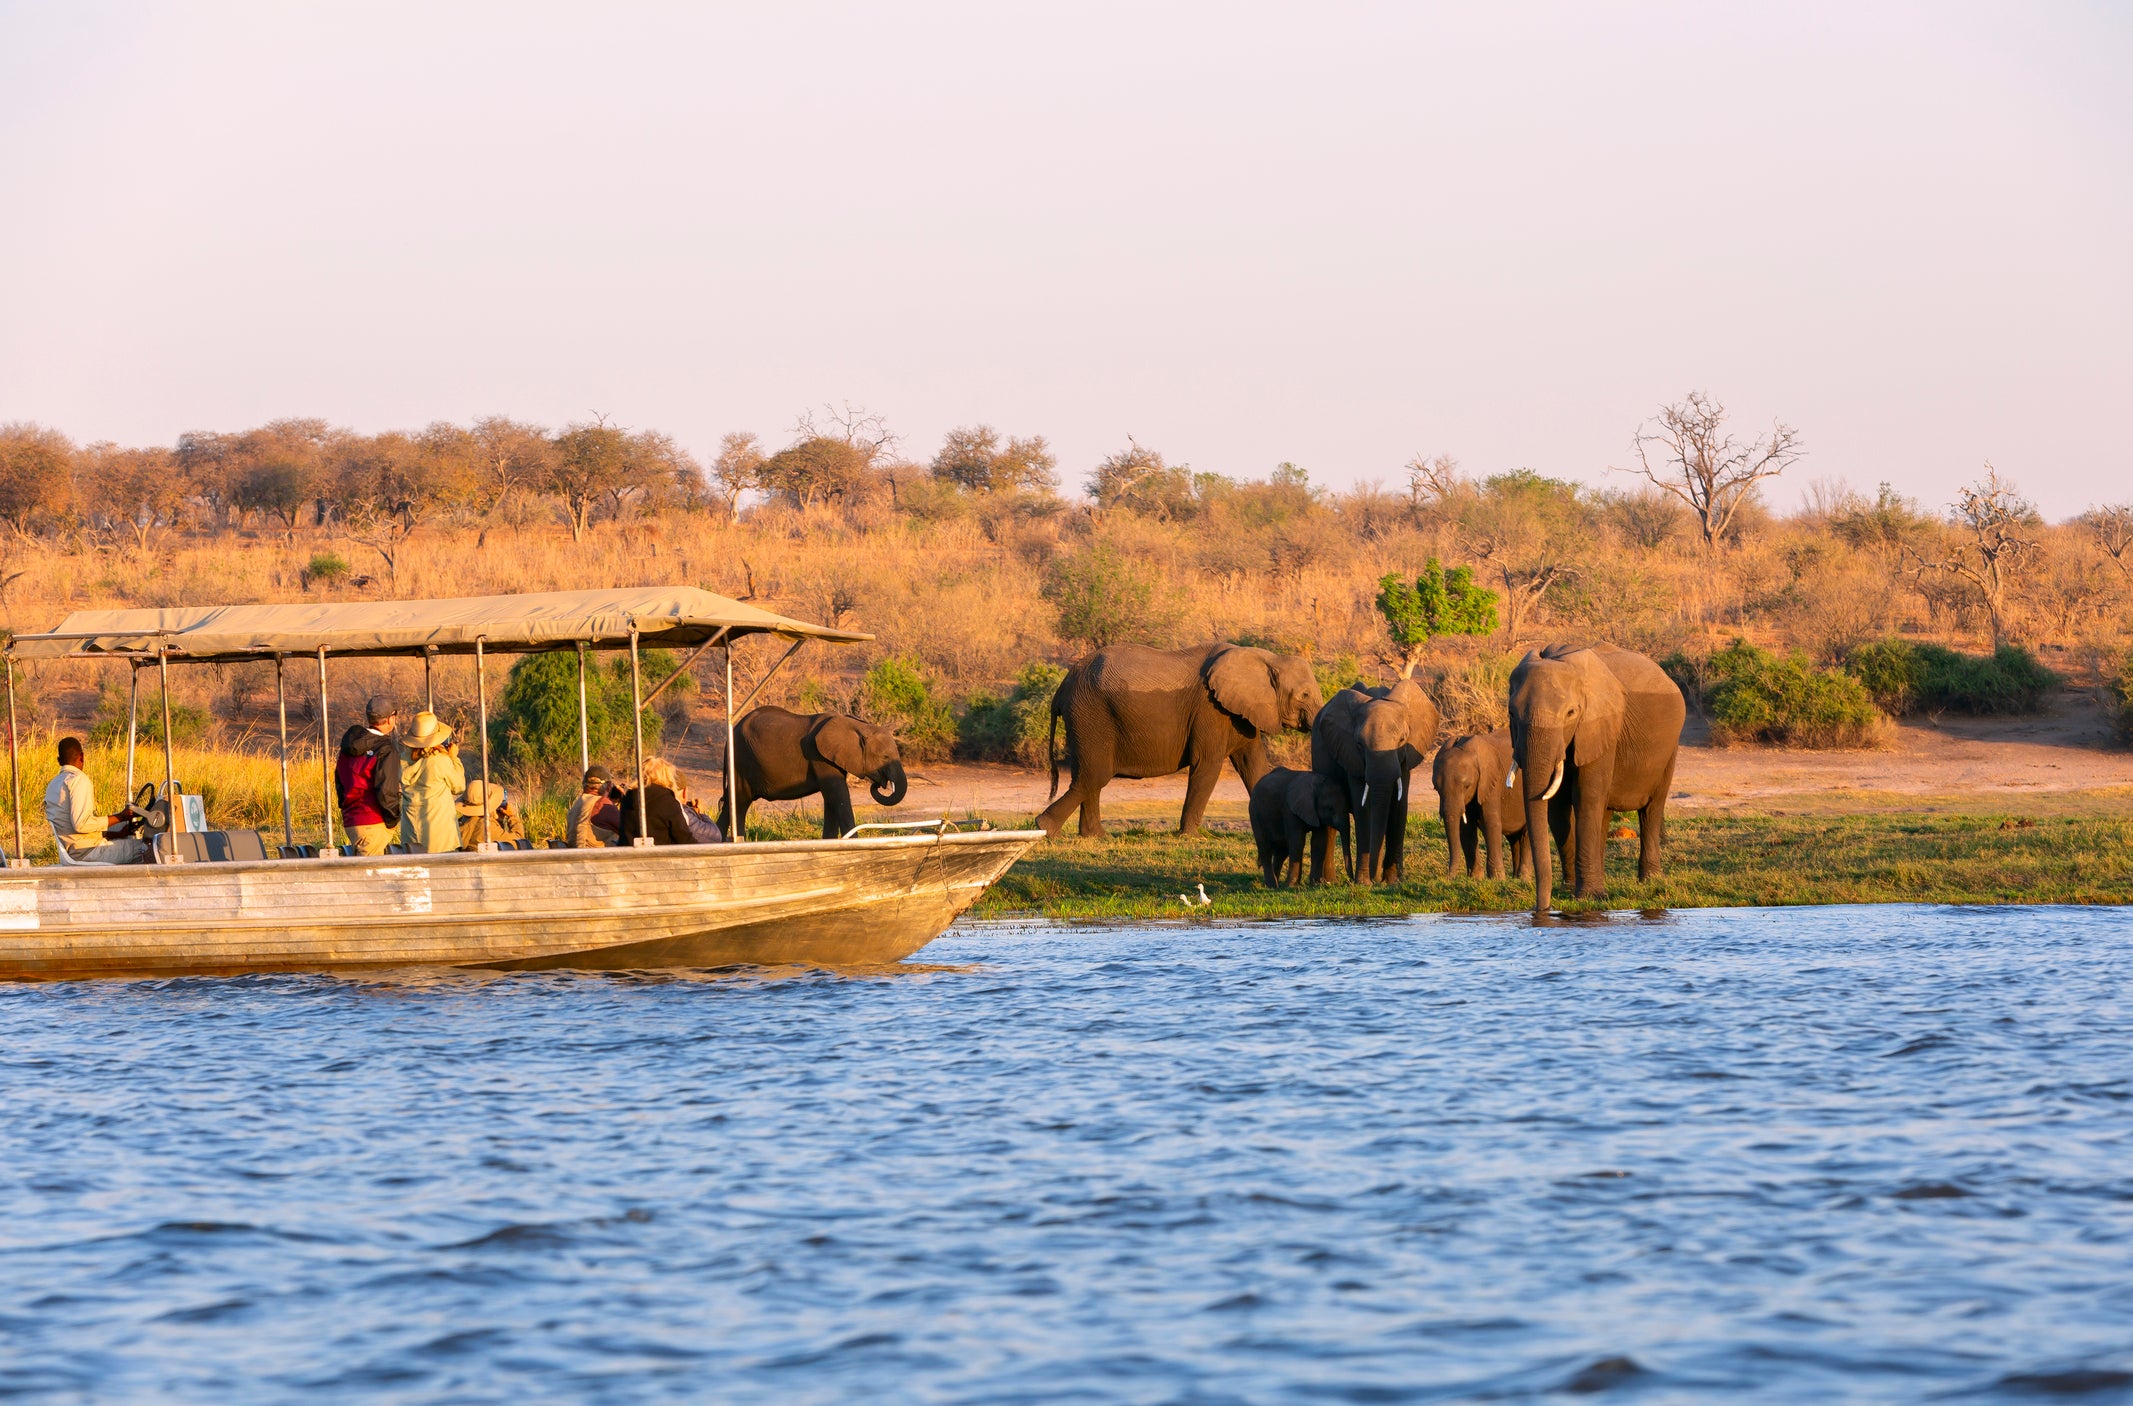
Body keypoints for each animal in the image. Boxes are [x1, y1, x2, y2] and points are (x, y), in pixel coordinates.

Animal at [725, 708, 908, 840]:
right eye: (885, 757)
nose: (878, 783)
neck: (857, 726)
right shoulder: (818, 755)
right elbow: (838, 795)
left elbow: (831, 799)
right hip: (740, 761)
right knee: (739, 804)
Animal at [1032, 644, 1313, 840]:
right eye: (1305, 695)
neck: (1265, 657)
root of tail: (1061, 688)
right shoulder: (1210, 710)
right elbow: (1207, 765)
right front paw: (1191, 837)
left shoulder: (1240, 713)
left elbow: (1253, 765)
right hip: (1090, 715)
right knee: (1094, 776)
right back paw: (1045, 829)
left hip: (1087, 717)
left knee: (1091, 777)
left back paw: (1095, 836)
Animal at [1305, 678, 1441, 887]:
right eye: (1360, 745)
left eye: (1402, 739)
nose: (1374, 879)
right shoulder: (1351, 755)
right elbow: (1365, 810)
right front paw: (1364, 883)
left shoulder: (1405, 760)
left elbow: (1398, 808)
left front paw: (1393, 882)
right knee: (1327, 825)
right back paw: (1326, 882)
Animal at [1501, 644, 1680, 917]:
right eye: (1511, 713)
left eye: (1571, 713)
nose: (1542, 908)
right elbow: (1557, 809)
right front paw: (1571, 890)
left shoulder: (1599, 726)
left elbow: (1587, 797)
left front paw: (1589, 897)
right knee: (1604, 813)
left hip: (1669, 749)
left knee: (1652, 807)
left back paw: (1650, 881)